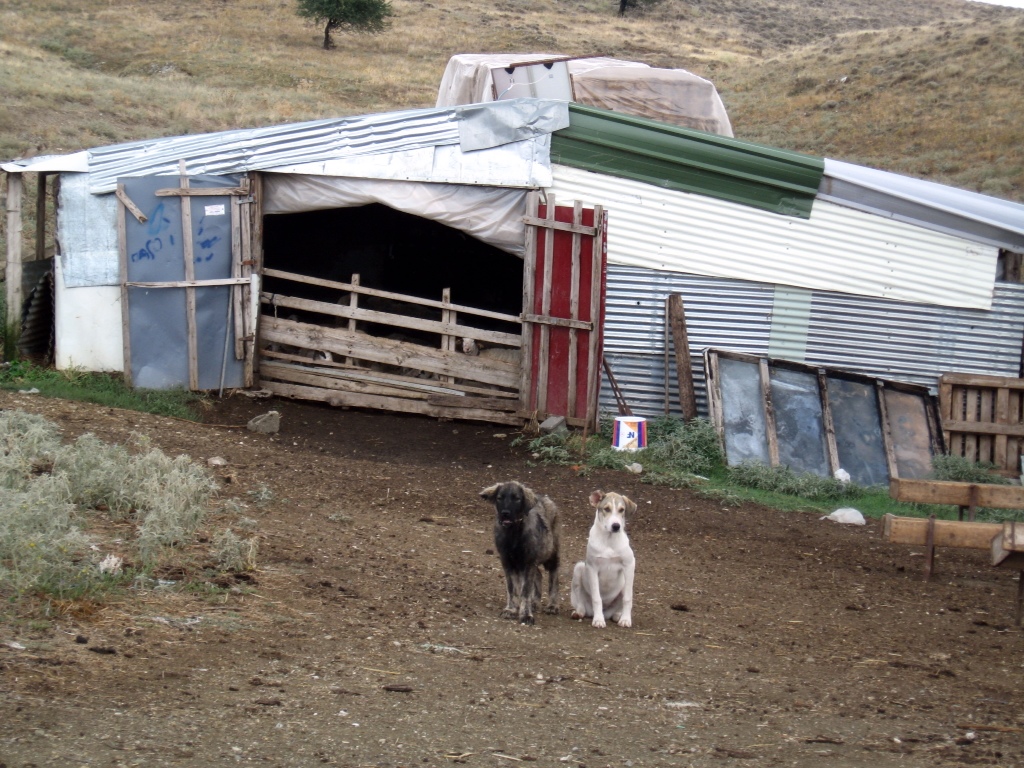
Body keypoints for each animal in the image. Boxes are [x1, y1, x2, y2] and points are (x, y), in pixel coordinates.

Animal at [479, 481, 561, 626]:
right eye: (499, 498)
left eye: (516, 498)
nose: (505, 513)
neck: (513, 534)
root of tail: (544, 498)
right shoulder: (508, 562)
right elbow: (512, 589)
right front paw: (511, 609)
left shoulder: (528, 563)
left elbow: (525, 591)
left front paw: (526, 614)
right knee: (538, 575)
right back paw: (535, 602)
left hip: (551, 553)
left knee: (554, 577)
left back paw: (552, 605)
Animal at [573, 489, 634, 626]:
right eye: (606, 509)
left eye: (622, 510)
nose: (616, 526)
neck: (609, 540)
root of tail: (607, 612)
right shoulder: (592, 568)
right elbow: (597, 598)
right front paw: (598, 620)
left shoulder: (629, 565)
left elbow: (627, 598)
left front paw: (626, 619)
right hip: (579, 568)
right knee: (580, 602)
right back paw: (579, 613)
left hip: (624, 582)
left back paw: (618, 616)